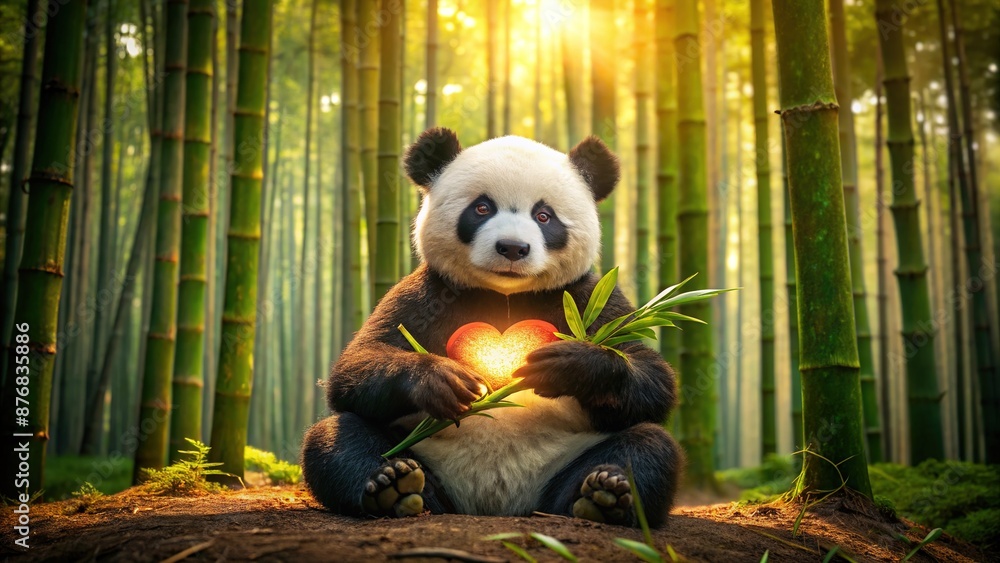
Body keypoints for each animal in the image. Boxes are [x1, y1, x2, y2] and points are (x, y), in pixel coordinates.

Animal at [301, 127, 682, 527]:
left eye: (544, 215)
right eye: (482, 208)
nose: (513, 247)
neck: (505, 296)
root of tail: (495, 503)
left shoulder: (589, 297)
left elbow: (650, 374)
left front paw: (566, 366)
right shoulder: (426, 293)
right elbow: (358, 364)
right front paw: (443, 380)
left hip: (569, 458)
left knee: (649, 446)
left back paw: (601, 495)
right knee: (337, 437)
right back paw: (395, 486)